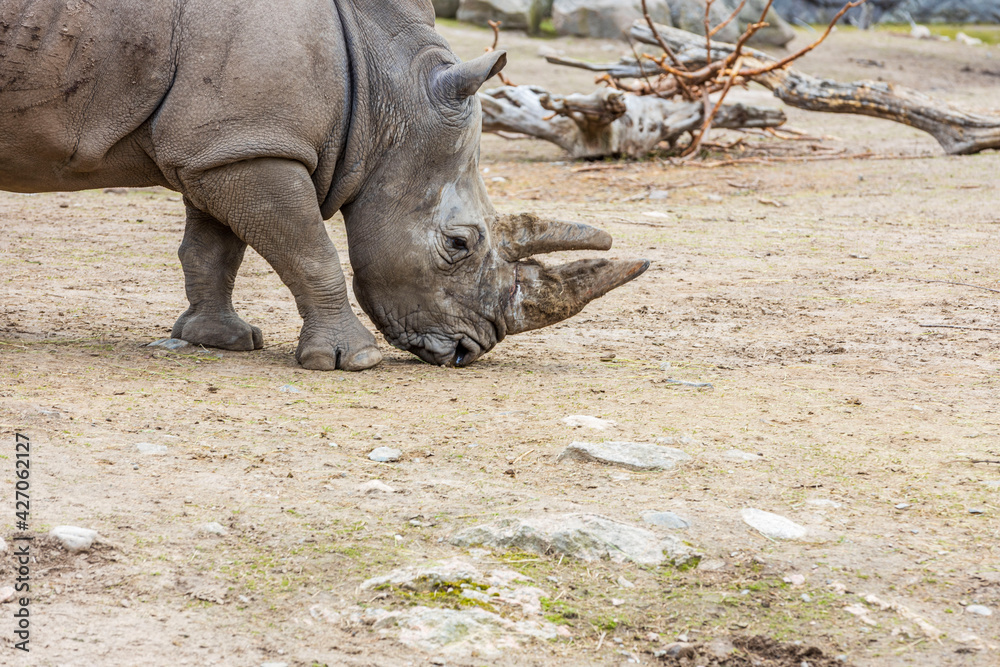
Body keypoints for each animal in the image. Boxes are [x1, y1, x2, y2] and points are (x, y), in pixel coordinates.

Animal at [0, 0, 648, 370]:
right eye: (459, 245)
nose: (468, 352)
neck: (387, 88)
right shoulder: (249, 146)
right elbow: (309, 250)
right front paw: (350, 360)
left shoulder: (227, 142)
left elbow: (213, 248)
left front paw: (219, 341)